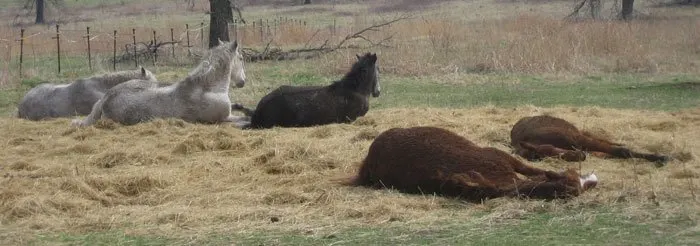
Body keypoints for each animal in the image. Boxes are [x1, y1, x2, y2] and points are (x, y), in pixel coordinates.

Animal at [72, 40, 247, 127]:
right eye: (241, 58)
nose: (243, 81)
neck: (207, 88)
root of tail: (105, 98)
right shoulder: (224, 119)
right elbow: (242, 120)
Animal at [512, 115, 668, 165]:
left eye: (551, 149)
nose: (580, 155)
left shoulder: (579, 140)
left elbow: (621, 151)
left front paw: (661, 157)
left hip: (582, 135)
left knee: (607, 142)